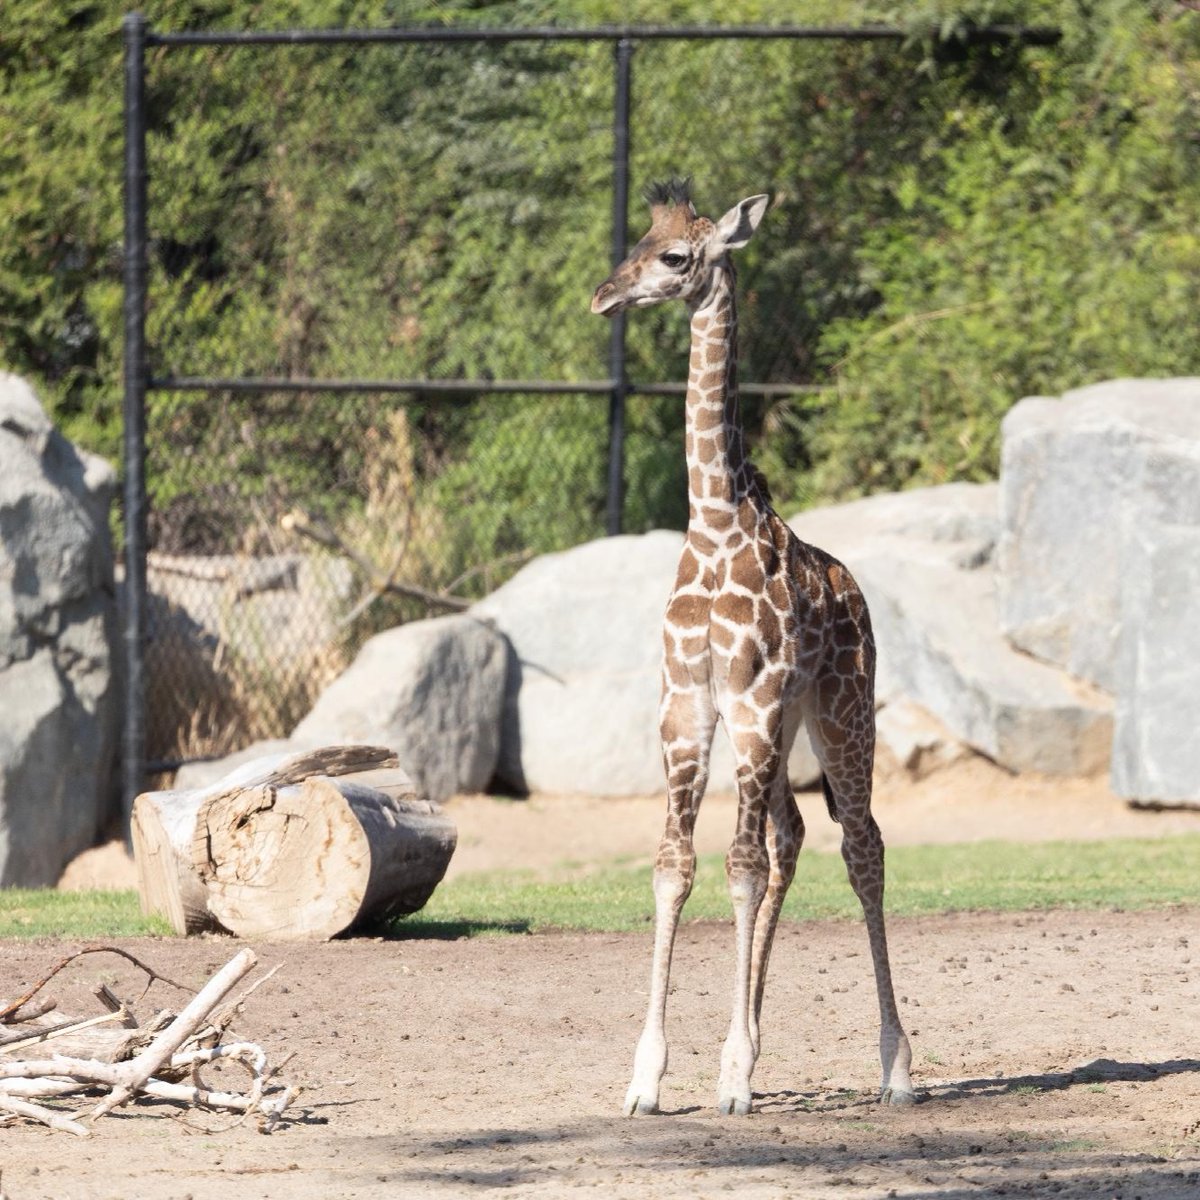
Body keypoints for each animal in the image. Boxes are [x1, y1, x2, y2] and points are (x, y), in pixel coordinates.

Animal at [590, 179, 915, 1118]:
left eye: (674, 258)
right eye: (636, 242)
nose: (605, 296)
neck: (713, 522)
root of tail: (857, 592)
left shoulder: (754, 695)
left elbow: (736, 865)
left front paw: (729, 1076)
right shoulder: (687, 704)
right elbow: (674, 865)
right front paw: (651, 1078)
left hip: (837, 712)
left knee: (862, 846)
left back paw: (897, 1068)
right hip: (779, 725)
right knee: (796, 836)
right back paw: (763, 1044)